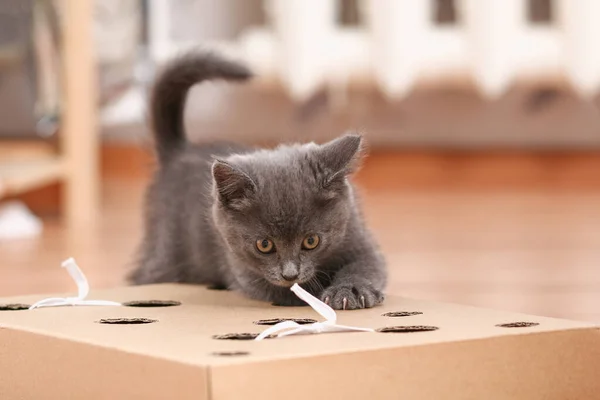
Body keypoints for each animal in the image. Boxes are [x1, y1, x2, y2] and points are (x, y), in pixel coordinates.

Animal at [129, 51, 386, 310]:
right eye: (264, 245)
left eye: (311, 241)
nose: (290, 274)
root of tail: (179, 151)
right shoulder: (243, 270)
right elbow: (289, 290)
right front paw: (315, 293)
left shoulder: (357, 234)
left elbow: (367, 265)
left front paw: (349, 290)